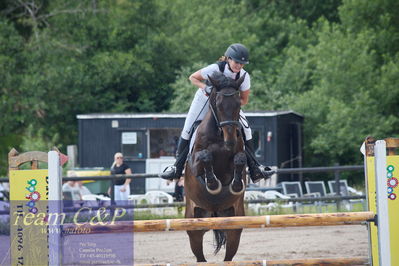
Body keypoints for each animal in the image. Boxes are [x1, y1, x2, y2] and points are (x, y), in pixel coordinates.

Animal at [184, 71, 247, 262]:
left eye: (238, 104)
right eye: (218, 105)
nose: (230, 141)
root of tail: (214, 213)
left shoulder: (236, 158)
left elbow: (240, 159)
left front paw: (236, 185)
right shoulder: (195, 163)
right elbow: (206, 156)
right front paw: (212, 183)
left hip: (234, 225)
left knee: (228, 256)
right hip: (194, 225)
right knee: (200, 256)